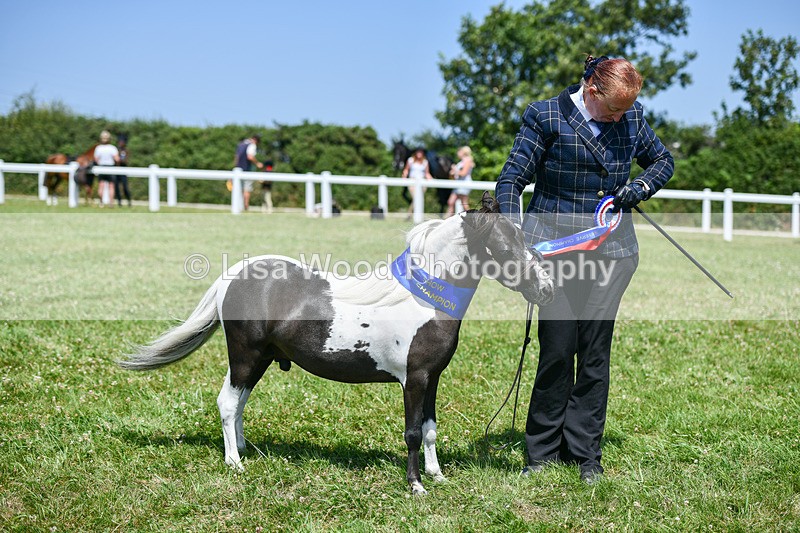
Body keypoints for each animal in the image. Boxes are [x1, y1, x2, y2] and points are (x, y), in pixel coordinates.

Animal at [119, 192, 555, 495]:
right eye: (505, 246)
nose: (546, 288)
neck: (424, 297)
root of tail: (235, 275)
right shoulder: (413, 379)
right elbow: (413, 433)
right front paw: (416, 486)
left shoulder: (432, 378)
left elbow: (430, 429)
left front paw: (437, 475)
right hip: (246, 356)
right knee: (227, 402)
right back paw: (234, 463)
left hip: (260, 360)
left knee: (238, 403)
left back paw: (245, 450)